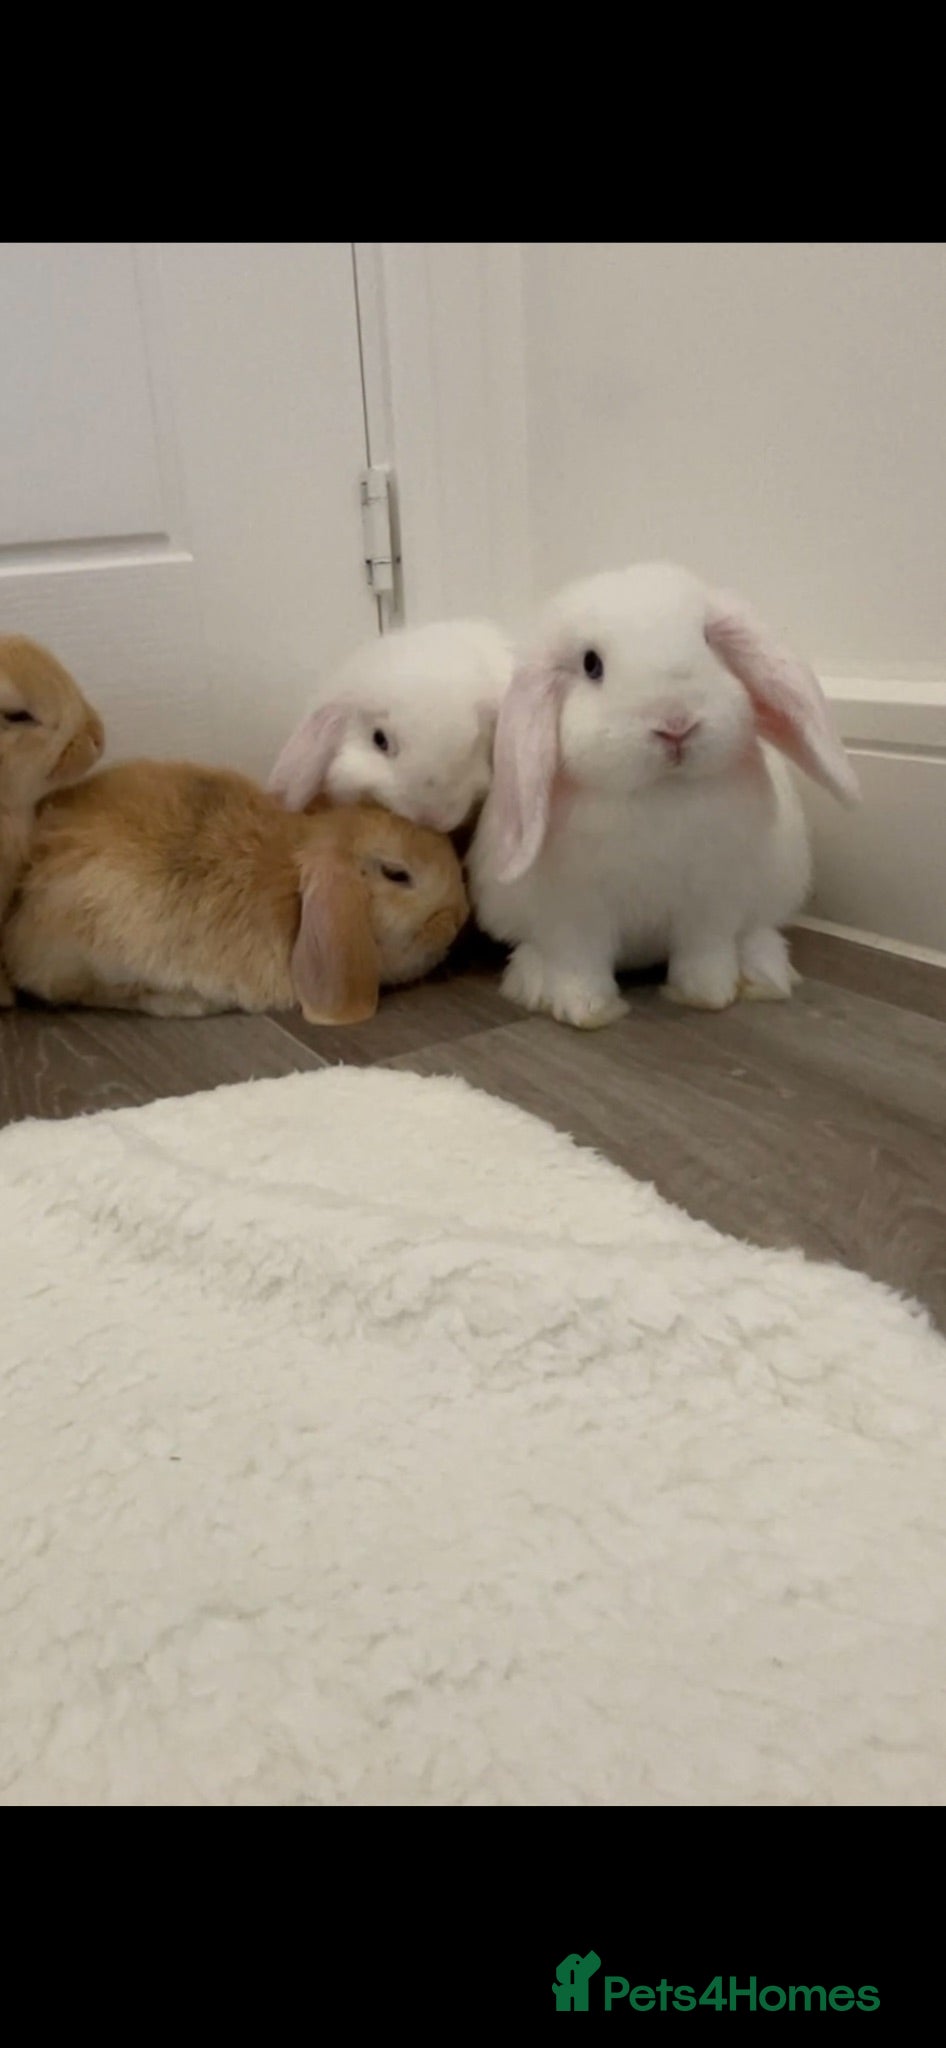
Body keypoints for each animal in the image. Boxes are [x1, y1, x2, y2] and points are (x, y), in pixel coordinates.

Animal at [467, 561, 860, 1031]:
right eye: (592, 664)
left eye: (707, 641)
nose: (676, 723)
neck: (660, 790)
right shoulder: (576, 916)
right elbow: (580, 965)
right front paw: (587, 1011)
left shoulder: (711, 903)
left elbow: (706, 954)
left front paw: (709, 996)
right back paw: (532, 982)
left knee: (757, 933)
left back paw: (764, 975)